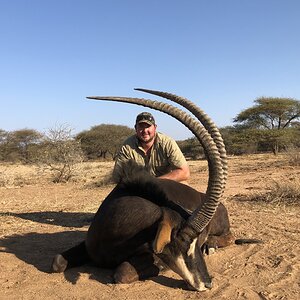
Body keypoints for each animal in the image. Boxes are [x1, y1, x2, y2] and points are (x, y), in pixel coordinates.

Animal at [51, 89, 260, 290]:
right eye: (183, 242)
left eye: (196, 242)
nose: (207, 283)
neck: (116, 225)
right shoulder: (88, 247)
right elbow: (57, 262)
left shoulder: (152, 255)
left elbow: (122, 273)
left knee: (230, 236)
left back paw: (212, 245)